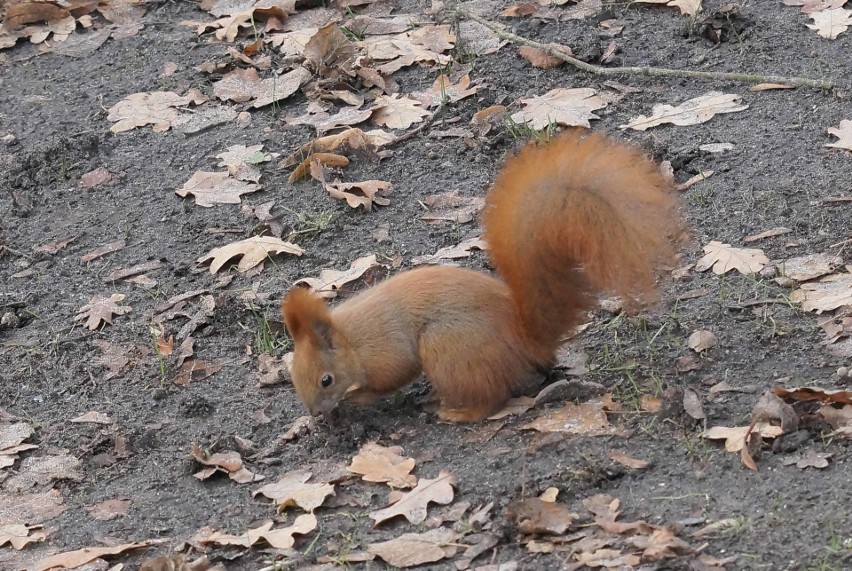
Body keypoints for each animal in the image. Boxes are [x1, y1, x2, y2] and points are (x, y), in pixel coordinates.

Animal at [282, 131, 684, 424]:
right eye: (294, 376)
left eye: (326, 379)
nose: (316, 415)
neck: (350, 340)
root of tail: (527, 340)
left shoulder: (385, 351)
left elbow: (391, 376)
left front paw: (358, 397)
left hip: (448, 346)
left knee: (490, 399)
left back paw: (456, 412)